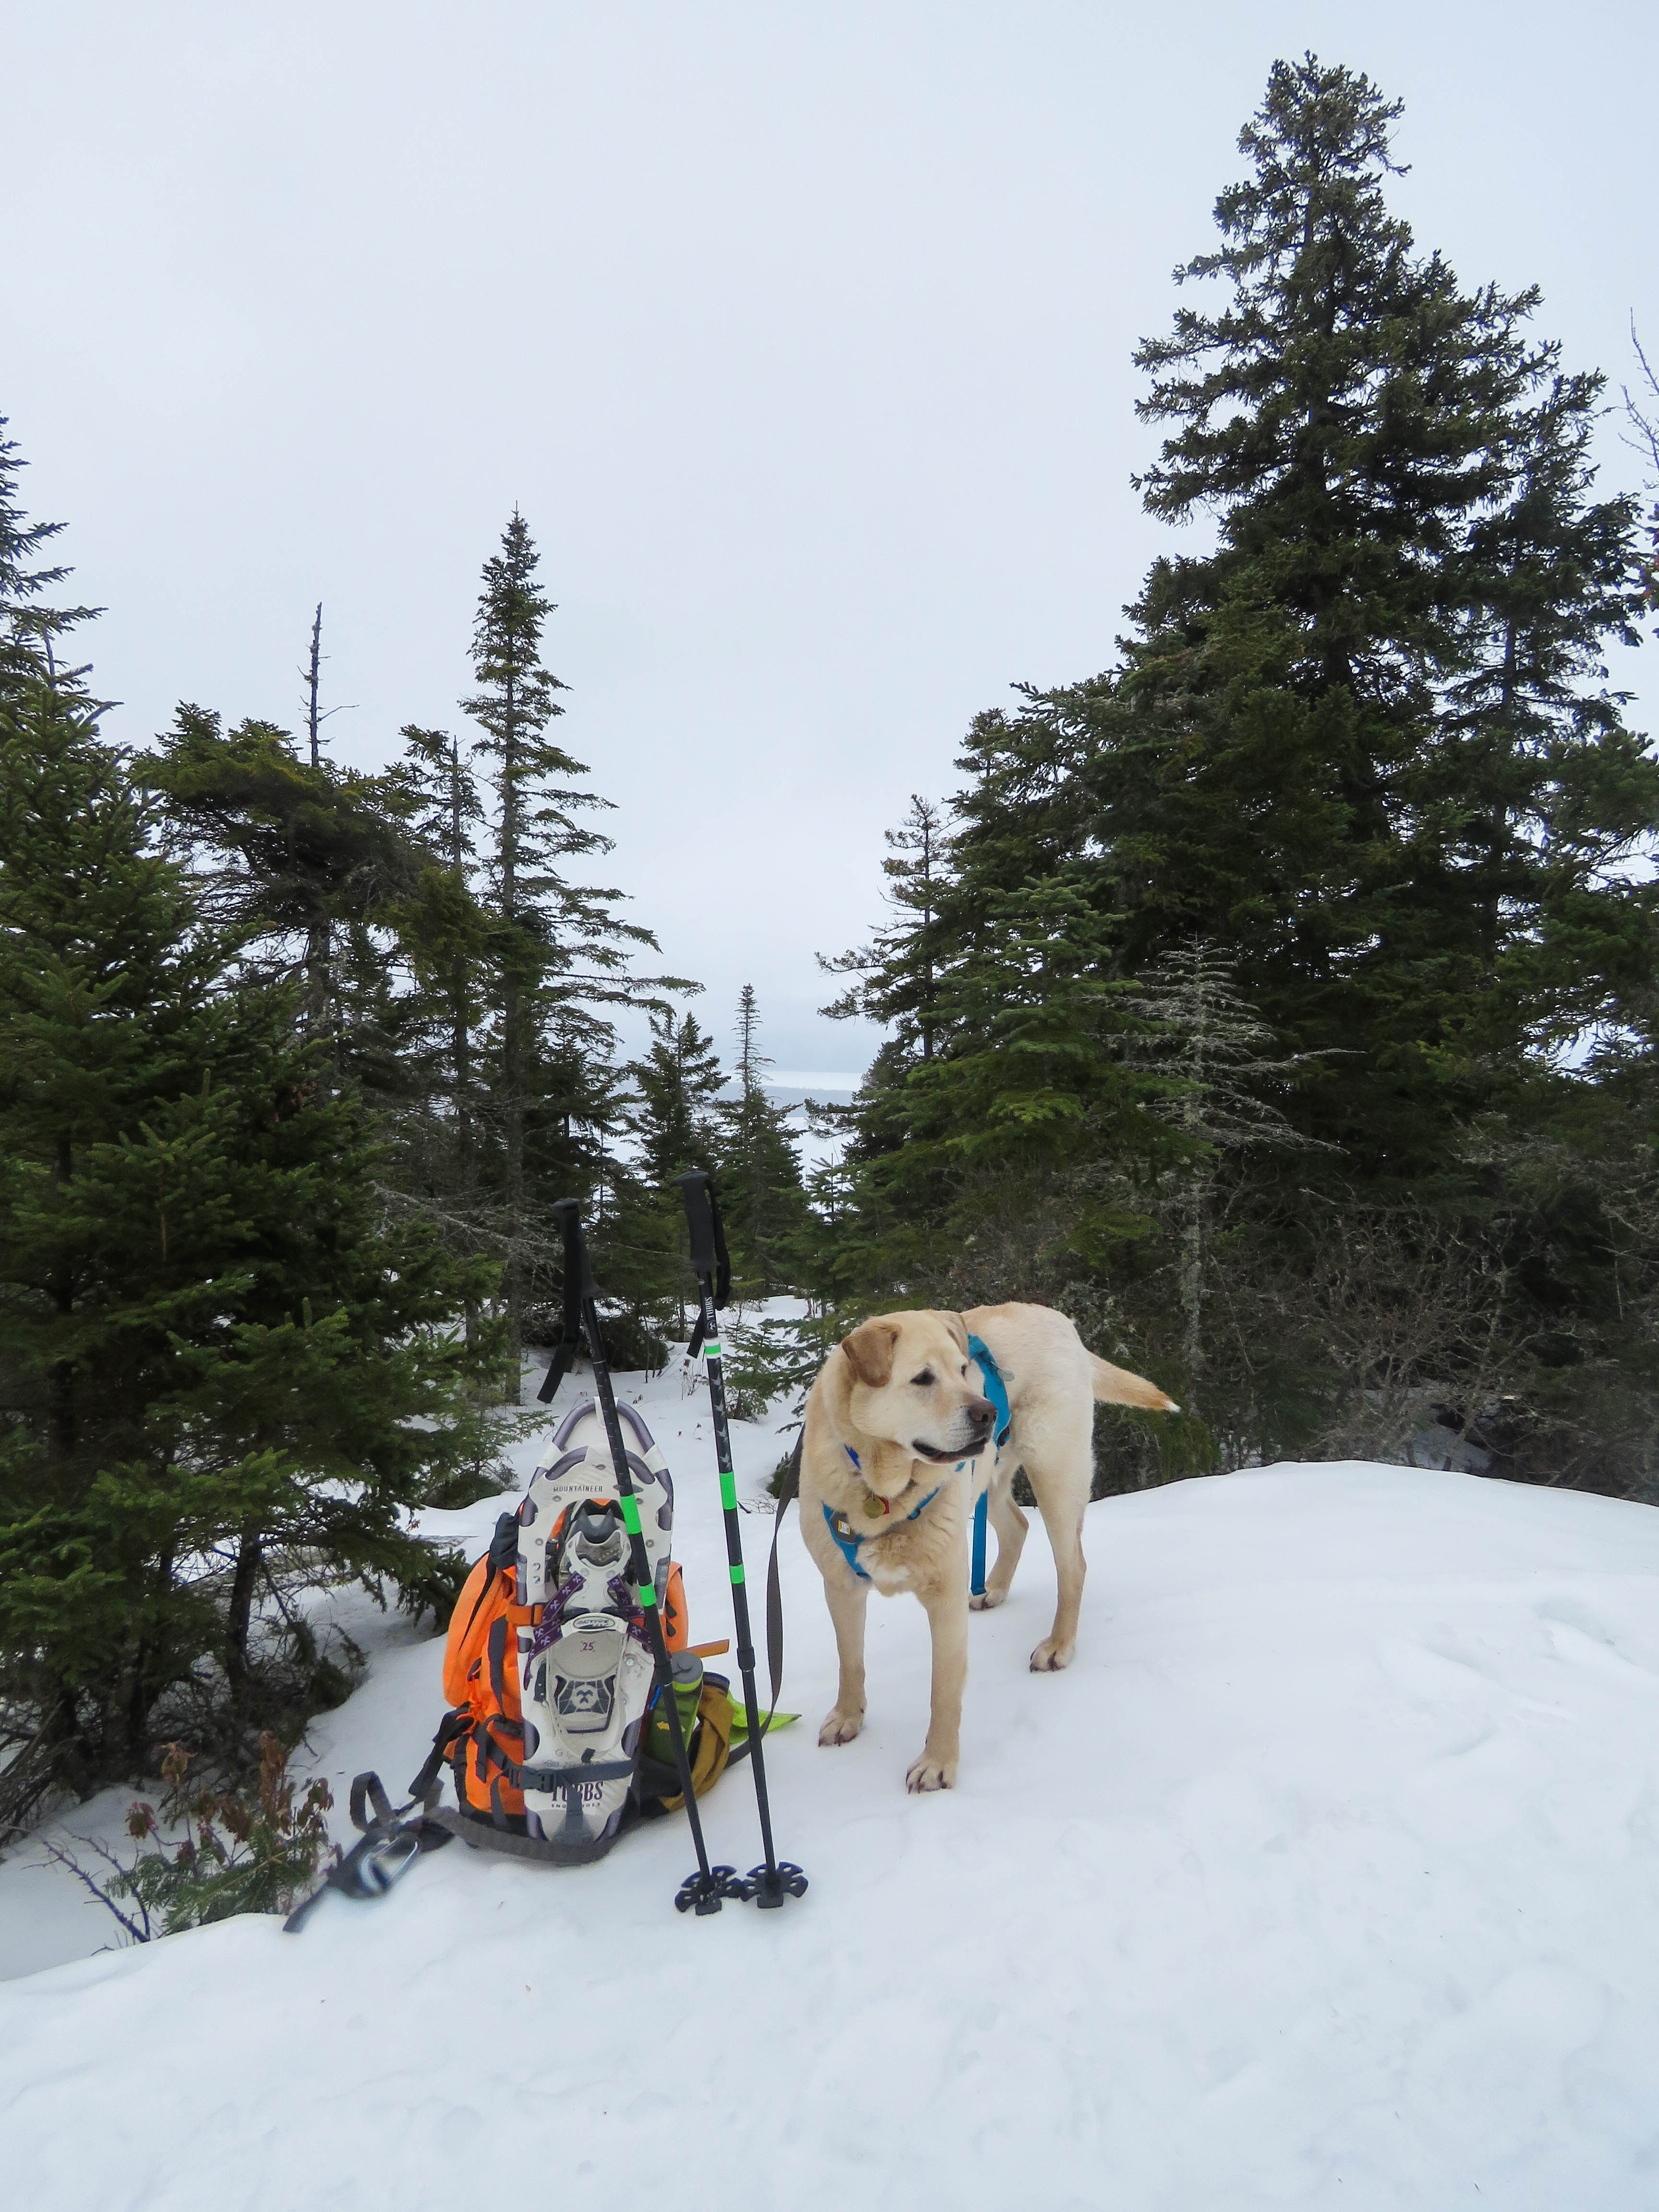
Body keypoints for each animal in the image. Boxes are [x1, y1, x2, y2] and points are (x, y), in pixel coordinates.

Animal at [798, 1302, 1177, 1792]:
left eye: (963, 1371)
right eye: (923, 1379)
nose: (989, 1411)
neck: (882, 1491)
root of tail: (1062, 1321)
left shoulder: (944, 1597)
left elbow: (943, 1690)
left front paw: (938, 1764)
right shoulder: (840, 1586)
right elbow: (850, 1661)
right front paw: (848, 1717)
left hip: (1053, 1475)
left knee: (1073, 1565)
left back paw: (1059, 1645)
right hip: (988, 1480)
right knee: (1017, 1527)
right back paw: (992, 1589)